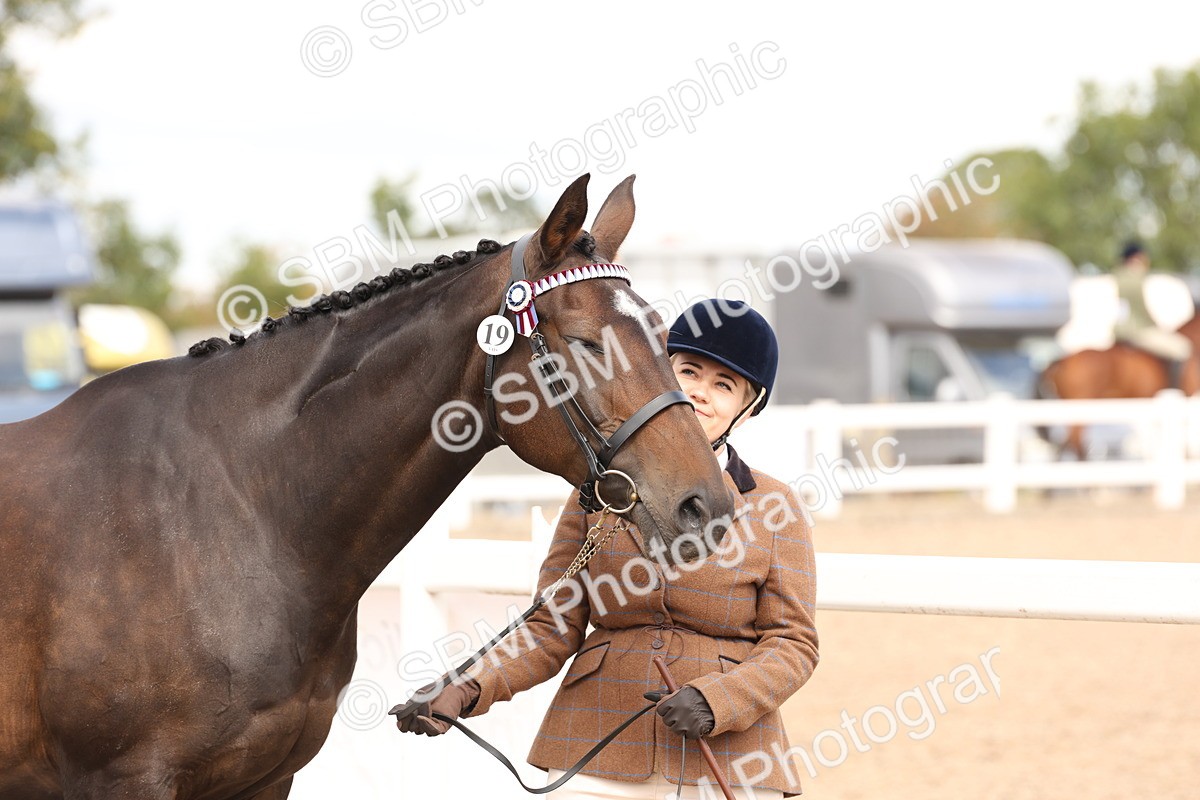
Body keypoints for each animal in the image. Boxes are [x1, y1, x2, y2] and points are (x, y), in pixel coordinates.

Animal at [0, 174, 735, 799]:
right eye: (584, 341)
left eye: (663, 335)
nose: (708, 506)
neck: (235, 512)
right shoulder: (125, 778)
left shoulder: (266, 779)